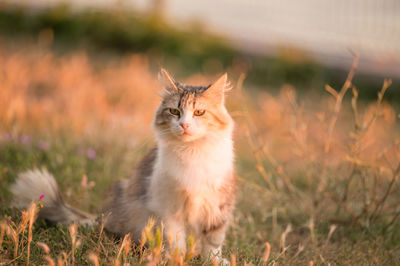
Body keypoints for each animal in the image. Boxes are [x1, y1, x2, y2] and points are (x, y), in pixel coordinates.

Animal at [10, 68, 234, 264]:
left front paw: (214, 261)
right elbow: (176, 240)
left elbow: (213, 242)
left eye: (199, 112)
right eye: (175, 111)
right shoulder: (170, 208)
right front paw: (175, 259)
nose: (184, 125)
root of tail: (106, 216)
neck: (191, 152)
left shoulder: (218, 205)